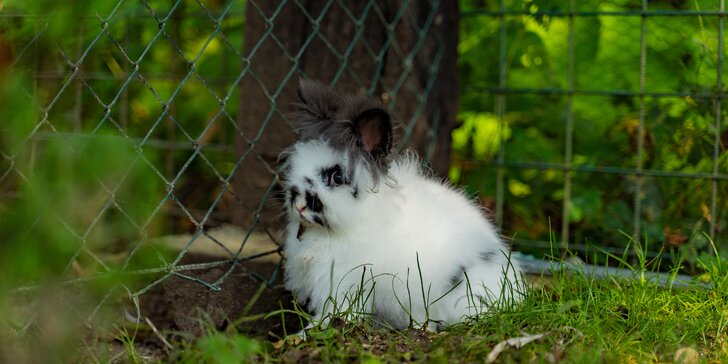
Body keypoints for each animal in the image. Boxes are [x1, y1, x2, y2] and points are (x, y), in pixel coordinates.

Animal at [278, 81, 524, 332]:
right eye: (296, 165)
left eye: (336, 177)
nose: (299, 204)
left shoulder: (345, 282)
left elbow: (338, 311)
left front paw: (312, 330)